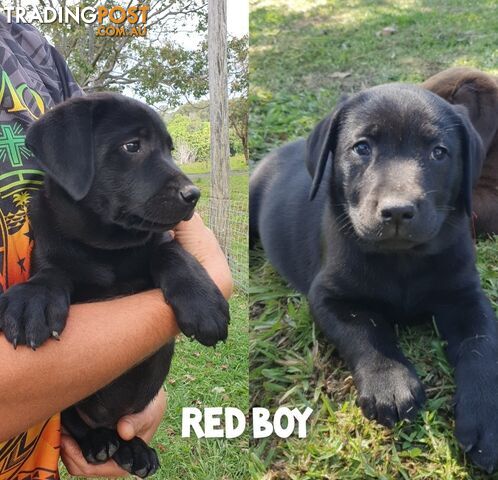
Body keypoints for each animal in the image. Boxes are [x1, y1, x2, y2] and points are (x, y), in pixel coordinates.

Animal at [0, 92, 230, 478]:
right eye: (132, 146)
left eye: (169, 149)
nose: (193, 195)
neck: (105, 247)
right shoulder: (52, 254)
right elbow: (51, 274)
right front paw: (33, 301)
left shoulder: (158, 241)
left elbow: (170, 252)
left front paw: (204, 302)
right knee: (79, 424)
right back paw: (98, 441)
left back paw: (134, 449)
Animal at [251, 85, 498, 472]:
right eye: (362, 148)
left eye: (439, 152)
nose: (397, 211)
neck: (402, 258)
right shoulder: (328, 296)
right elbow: (364, 330)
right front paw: (389, 382)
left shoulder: (466, 295)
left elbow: (482, 344)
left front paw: (486, 417)